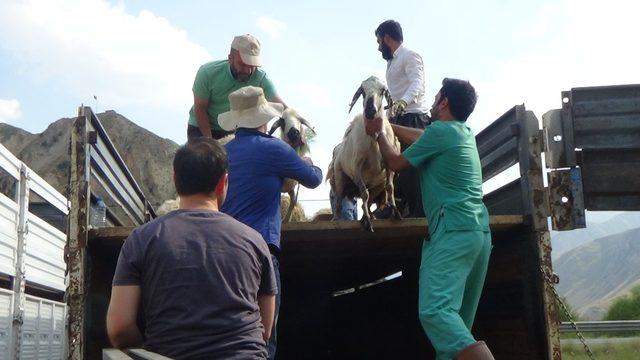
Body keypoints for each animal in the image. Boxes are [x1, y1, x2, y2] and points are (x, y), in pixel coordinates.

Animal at [330, 77, 400, 232]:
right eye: (362, 91)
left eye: (382, 90)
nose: (370, 110)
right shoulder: (356, 167)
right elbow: (364, 193)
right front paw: (366, 221)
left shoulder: (389, 166)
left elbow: (390, 188)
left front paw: (395, 211)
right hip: (339, 176)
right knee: (338, 199)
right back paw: (337, 219)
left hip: (377, 184)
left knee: (367, 201)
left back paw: (372, 216)